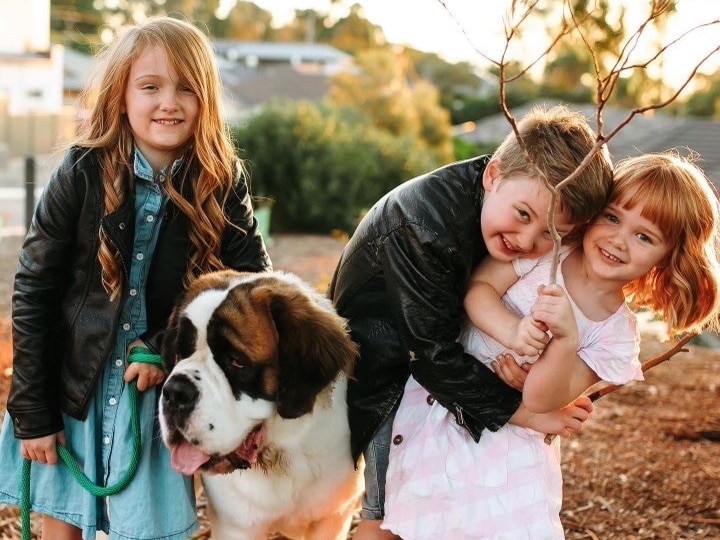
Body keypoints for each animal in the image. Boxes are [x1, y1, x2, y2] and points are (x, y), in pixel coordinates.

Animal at [158, 270, 360, 540]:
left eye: (236, 361)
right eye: (181, 352)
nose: (175, 393)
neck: (281, 452)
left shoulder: (332, 518)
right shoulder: (236, 526)